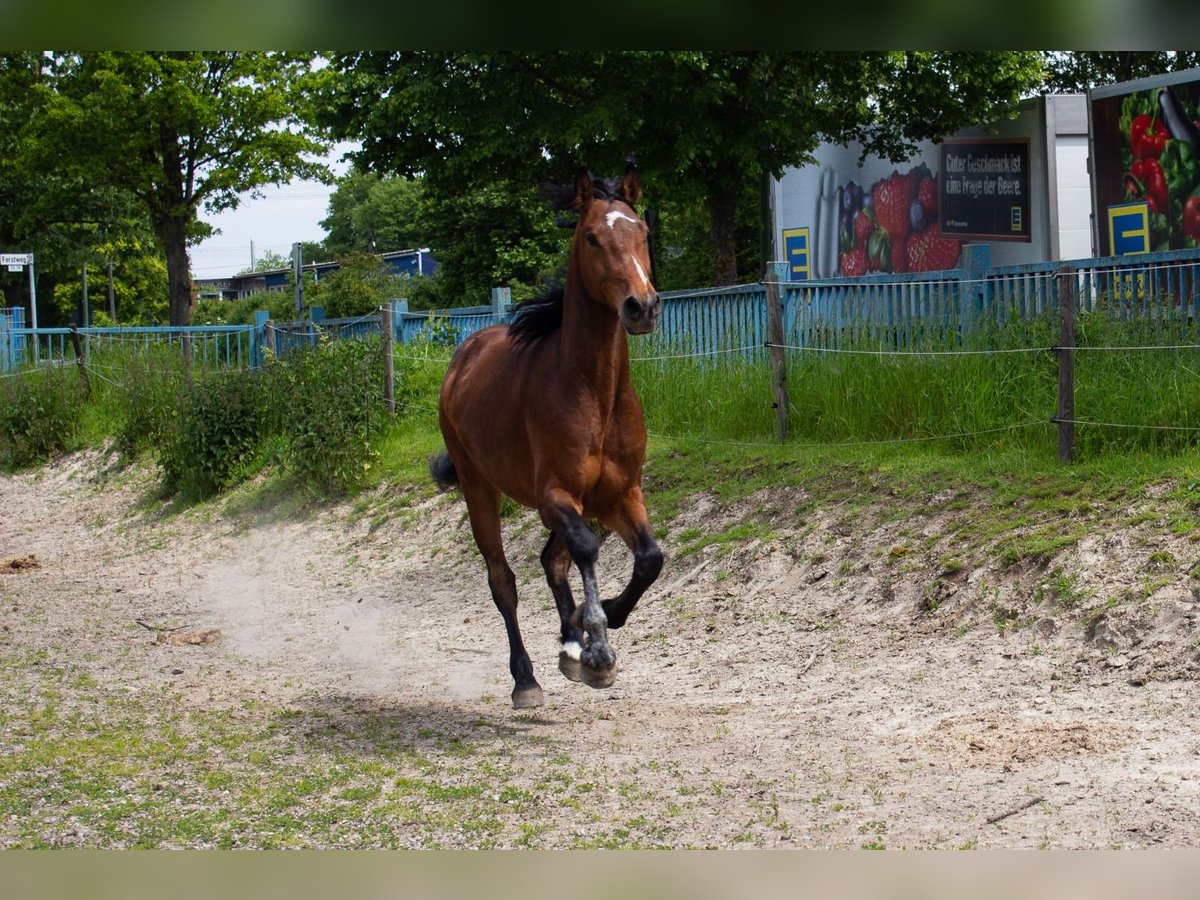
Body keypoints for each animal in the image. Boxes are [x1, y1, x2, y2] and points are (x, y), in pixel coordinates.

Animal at [429, 164, 662, 710]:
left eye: (642, 231)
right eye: (592, 237)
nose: (641, 306)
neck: (594, 394)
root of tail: (465, 356)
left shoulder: (620, 494)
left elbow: (649, 560)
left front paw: (596, 625)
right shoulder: (554, 495)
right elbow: (584, 549)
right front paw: (597, 647)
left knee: (551, 560)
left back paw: (569, 642)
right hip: (479, 487)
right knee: (504, 580)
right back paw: (527, 680)